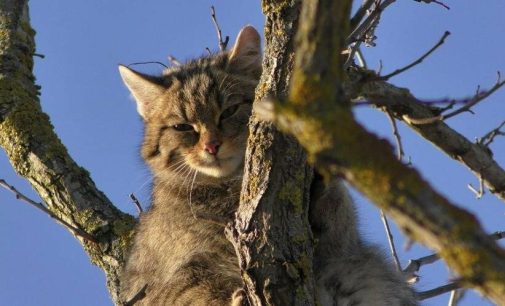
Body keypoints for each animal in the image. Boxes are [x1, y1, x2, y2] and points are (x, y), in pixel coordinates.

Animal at [119, 26, 418, 306]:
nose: (211, 146)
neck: (230, 191)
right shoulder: (167, 281)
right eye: (183, 127)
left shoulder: (341, 244)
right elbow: (193, 290)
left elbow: (337, 212)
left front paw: (321, 185)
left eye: (229, 111)